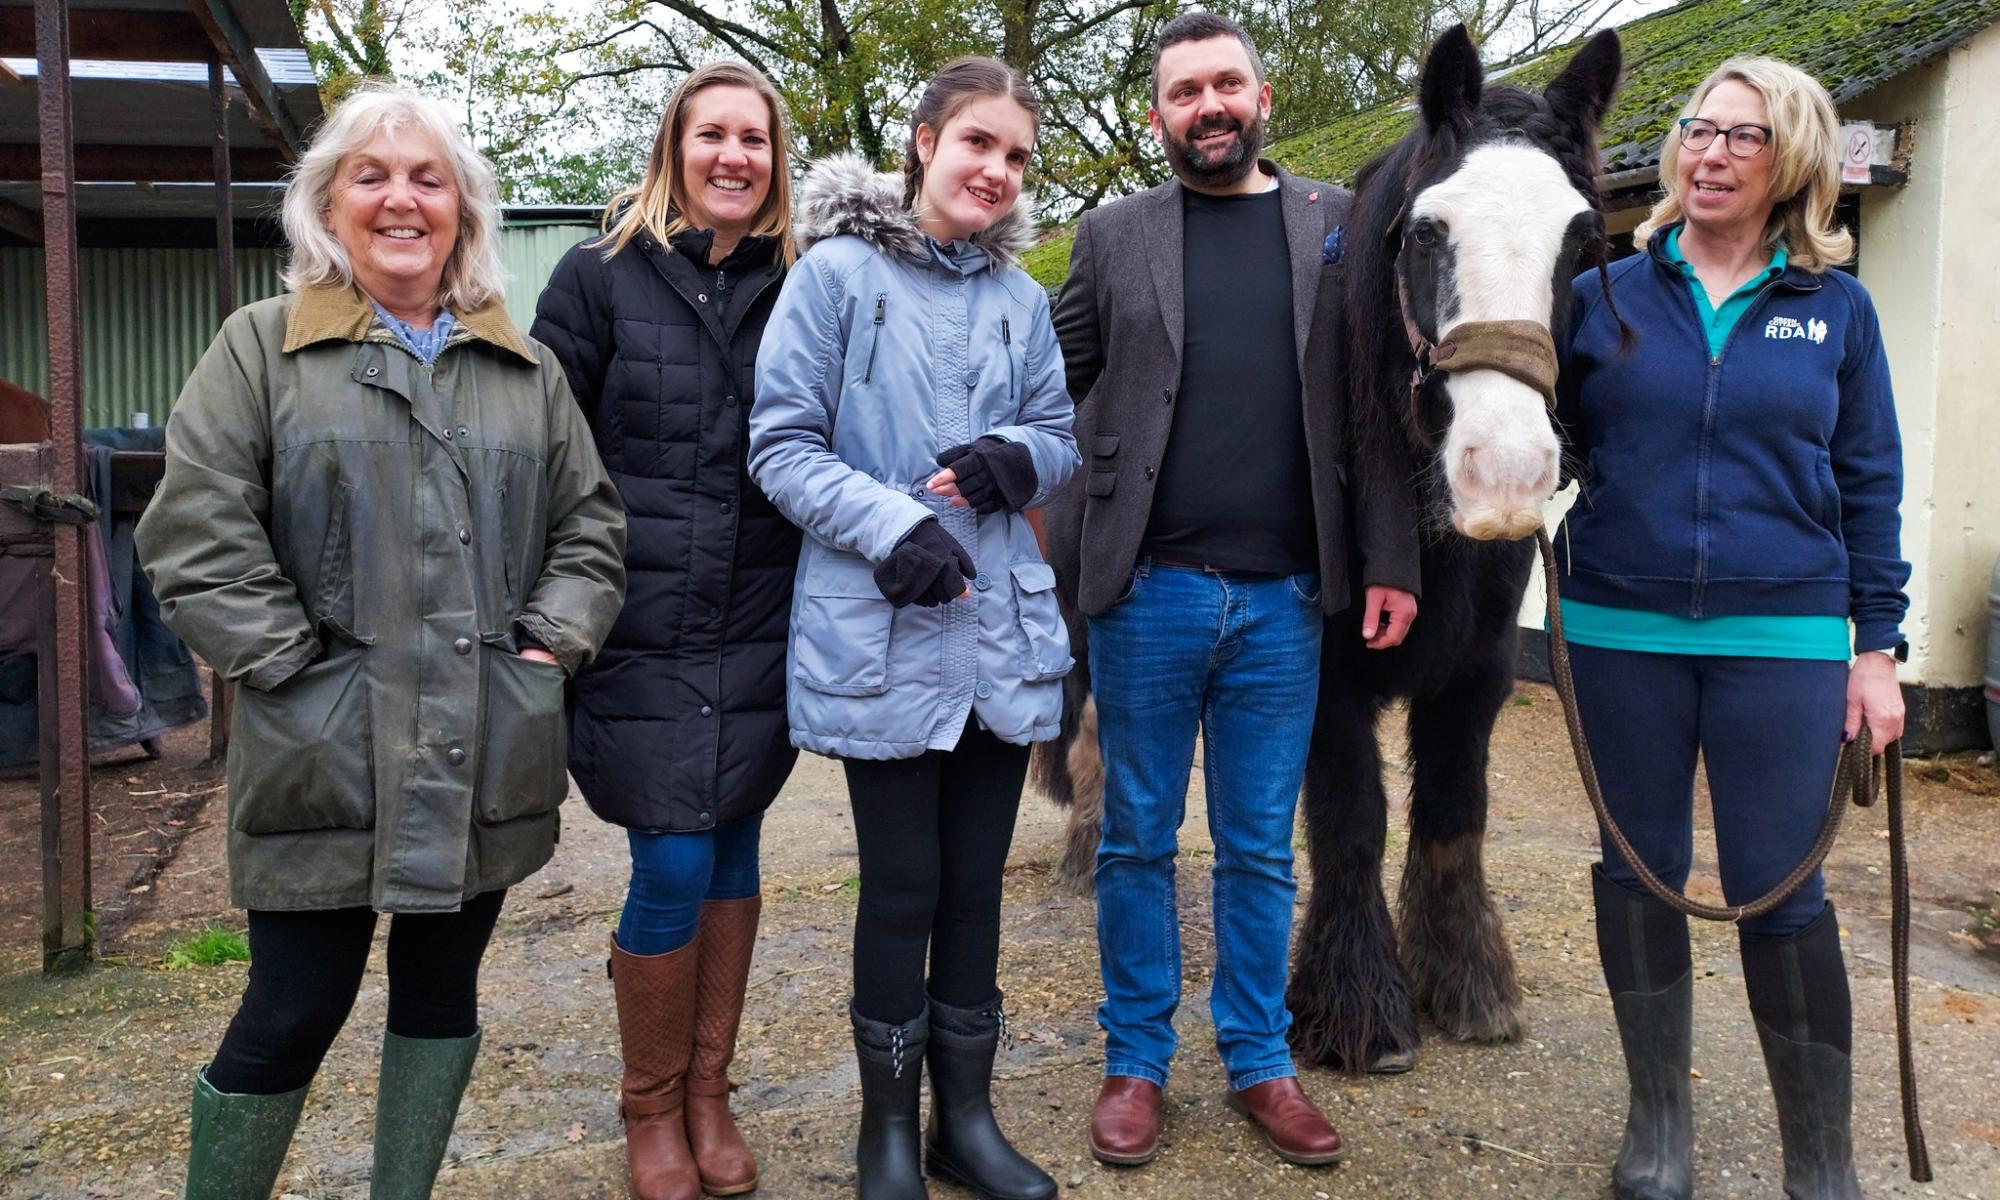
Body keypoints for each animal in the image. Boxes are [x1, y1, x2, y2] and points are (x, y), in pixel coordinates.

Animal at [1040, 28, 1632, 1072]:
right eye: (1427, 233)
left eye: (1584, 242)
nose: (1506, 472)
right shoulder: (1323, 680)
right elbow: (1354, 820)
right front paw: (1360, 1010)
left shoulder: (1476, 678)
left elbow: (1451, 816)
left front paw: (1467, 982)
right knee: (1097, 737)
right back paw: (1085, 854)